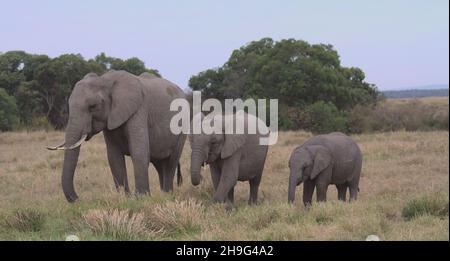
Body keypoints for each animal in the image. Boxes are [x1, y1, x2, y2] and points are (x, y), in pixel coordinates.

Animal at [46, 69, 186, 201]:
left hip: (183, 127)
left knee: (171, 162)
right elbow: (114, 157)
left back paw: (168, 194)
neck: (105, 80)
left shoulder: (139, 110)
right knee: (159, 163)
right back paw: (163, 194)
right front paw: (126, 198)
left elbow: (139, 152)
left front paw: (141, 197)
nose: (78, 200)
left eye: (93, 106)